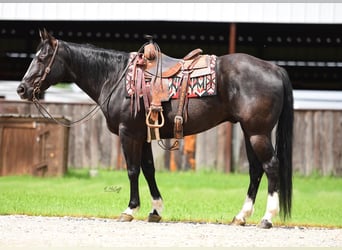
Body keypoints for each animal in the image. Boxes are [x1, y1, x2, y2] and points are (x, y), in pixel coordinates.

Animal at [17, 29, 292, 229]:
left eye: (41, 58)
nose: (22, 88)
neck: (114, 77)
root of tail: (275, 68)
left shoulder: (129, 133)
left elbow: (132, 170)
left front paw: (130, 209)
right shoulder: (144, 135)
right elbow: (149, 170)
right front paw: (155, 209)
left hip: (257, 133)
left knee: (271, 167)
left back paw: (267, 218)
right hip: (249, 132)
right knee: (256, 170)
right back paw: (241, 216)